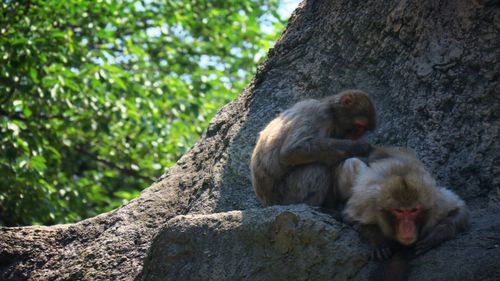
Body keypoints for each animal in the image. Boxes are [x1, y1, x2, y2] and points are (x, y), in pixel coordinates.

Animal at [340, 147, 468, 258]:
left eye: (414, 210)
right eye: (399, 211)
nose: (407, 228)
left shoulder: (436, 202)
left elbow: (460, 209)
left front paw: (432, 237)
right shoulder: (368, 203)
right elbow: (349, 217)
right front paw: (379, 240)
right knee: (351, 162)